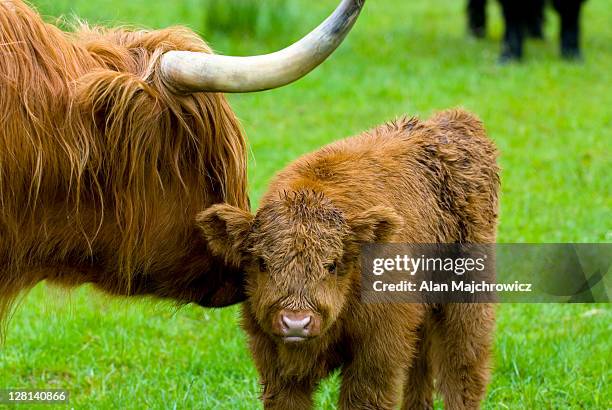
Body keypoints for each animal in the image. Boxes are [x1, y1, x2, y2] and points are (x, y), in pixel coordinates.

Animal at [198, 109, 500, 410]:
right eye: (262, 262)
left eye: (332, 265)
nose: (296, 322)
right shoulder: (274, 363)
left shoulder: (377, 354)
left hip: (467, 300)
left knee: (463, 369)